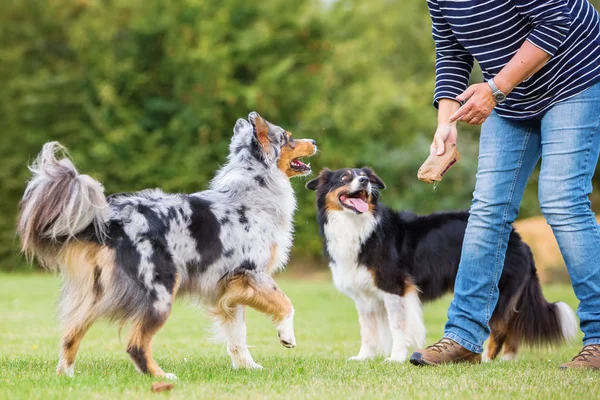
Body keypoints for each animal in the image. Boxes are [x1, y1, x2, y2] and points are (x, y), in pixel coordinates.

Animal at [17, 111, 318, 378]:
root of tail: (111, 219)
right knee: (135, 344)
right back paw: (162, 377)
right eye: (288, 138)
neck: (254, 188)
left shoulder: (229, 288)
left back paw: (67, 375)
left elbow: (237, 335)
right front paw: (286, 336)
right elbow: (285, 303)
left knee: (70, 334)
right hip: (160, 292)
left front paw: (248, 367)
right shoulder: (252, 272)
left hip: (96, 295)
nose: (314, 141)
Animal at [308, 167, 580, 364]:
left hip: (498, 290)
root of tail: (518, 237)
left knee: (500, 329)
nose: (364, 180)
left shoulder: (395, 289)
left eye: (362, 176)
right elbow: (368, 332)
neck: (358, 226)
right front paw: (363, 357)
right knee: (512, 330)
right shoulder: (364, 296)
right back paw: (506, 361)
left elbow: (398, 328)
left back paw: (486, 359)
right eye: (345, 177)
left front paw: (396, 358)